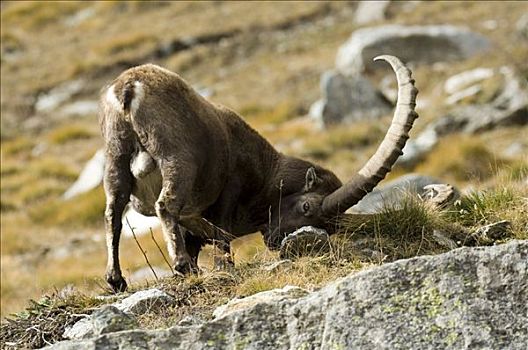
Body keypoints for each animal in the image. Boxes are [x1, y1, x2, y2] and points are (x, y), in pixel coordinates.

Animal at [100, 55, 416, 292]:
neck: (266, 172)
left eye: (328, 226)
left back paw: (116, 280)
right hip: (177, 159)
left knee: (113, 214)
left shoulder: (195, 221)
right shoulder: (230, 189)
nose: (276, 241)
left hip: (115, 159)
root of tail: (129, 89)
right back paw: (181, 265)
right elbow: (220, 233)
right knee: (165, 205)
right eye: (306, 206)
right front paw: (222, 267)